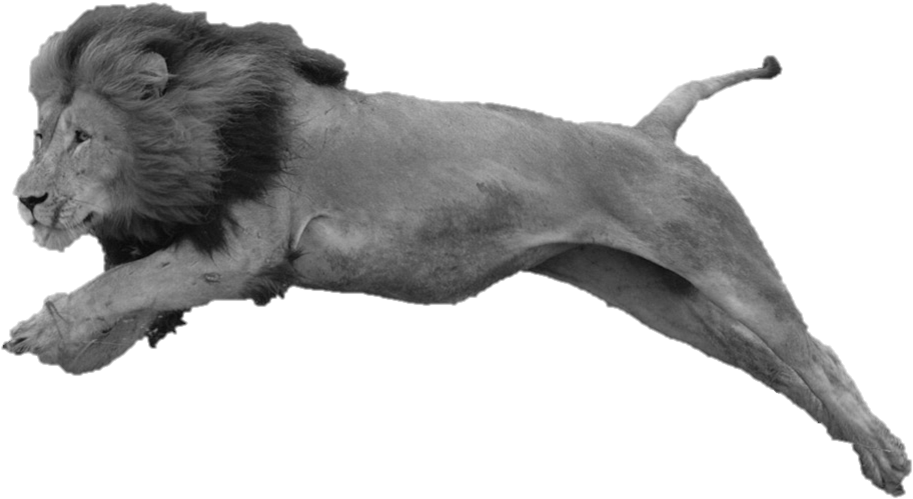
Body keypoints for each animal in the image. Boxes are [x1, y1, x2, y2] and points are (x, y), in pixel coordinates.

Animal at [9, 5, 908, 487]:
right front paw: (64, 340)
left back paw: (879, 449)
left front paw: (45, 325)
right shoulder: (210, 254)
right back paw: (849, 440)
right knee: (769, 361)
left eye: (83, 137)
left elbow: (125, 286)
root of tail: (650, 130)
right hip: (653, 293)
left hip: (723, 263)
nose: (25, 199)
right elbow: (126, 299)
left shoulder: (245, 249)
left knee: (815, 350)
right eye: (41, 133)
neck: (205, 127)